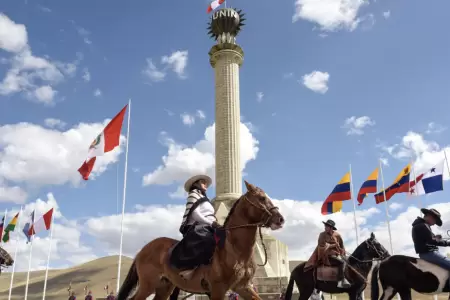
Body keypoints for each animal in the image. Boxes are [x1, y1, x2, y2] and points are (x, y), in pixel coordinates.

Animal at [117, 180, 284, 300]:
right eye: (262, 198)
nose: (280, 219)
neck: (234, 248)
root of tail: (142, 250)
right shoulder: (218, 288)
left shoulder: (243, 287)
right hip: (148, 284)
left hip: (164, 286)